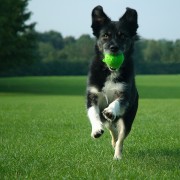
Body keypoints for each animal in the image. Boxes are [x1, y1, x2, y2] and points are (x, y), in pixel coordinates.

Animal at [86, 5, 139, 160]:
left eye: (123, 36)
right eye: (105, 35)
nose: (113, 48)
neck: (110, 71)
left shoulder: (124, 95)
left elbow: (117, 103)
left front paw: (110, 110)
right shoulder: (92, 95)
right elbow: (93, 113)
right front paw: (96, 129)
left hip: (128, 118)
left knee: (121, 137)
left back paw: (117, 155)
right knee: (111, 128)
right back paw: (112, 139)